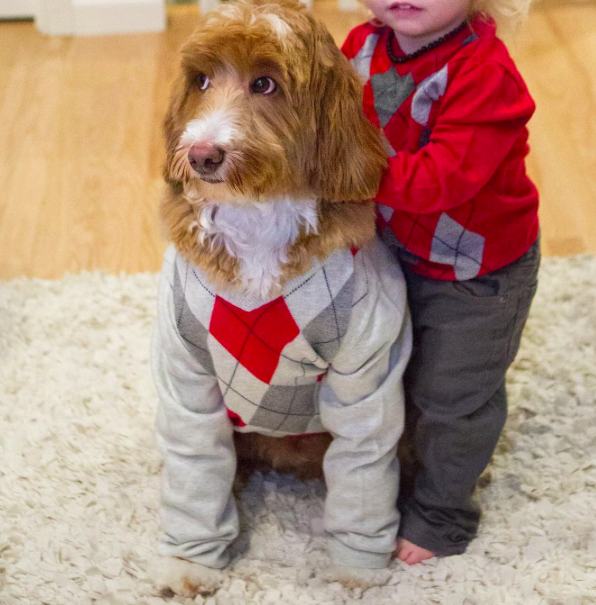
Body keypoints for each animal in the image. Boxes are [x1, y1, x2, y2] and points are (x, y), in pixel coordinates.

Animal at [147, 0, 412, 596]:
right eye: (200, 81)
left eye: (265, 83)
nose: (201, 154)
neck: (257, 218)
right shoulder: (186, 373)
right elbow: (196, 465)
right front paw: (191, 562)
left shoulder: (369, 371)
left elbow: (366, 464)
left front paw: (356, 568)